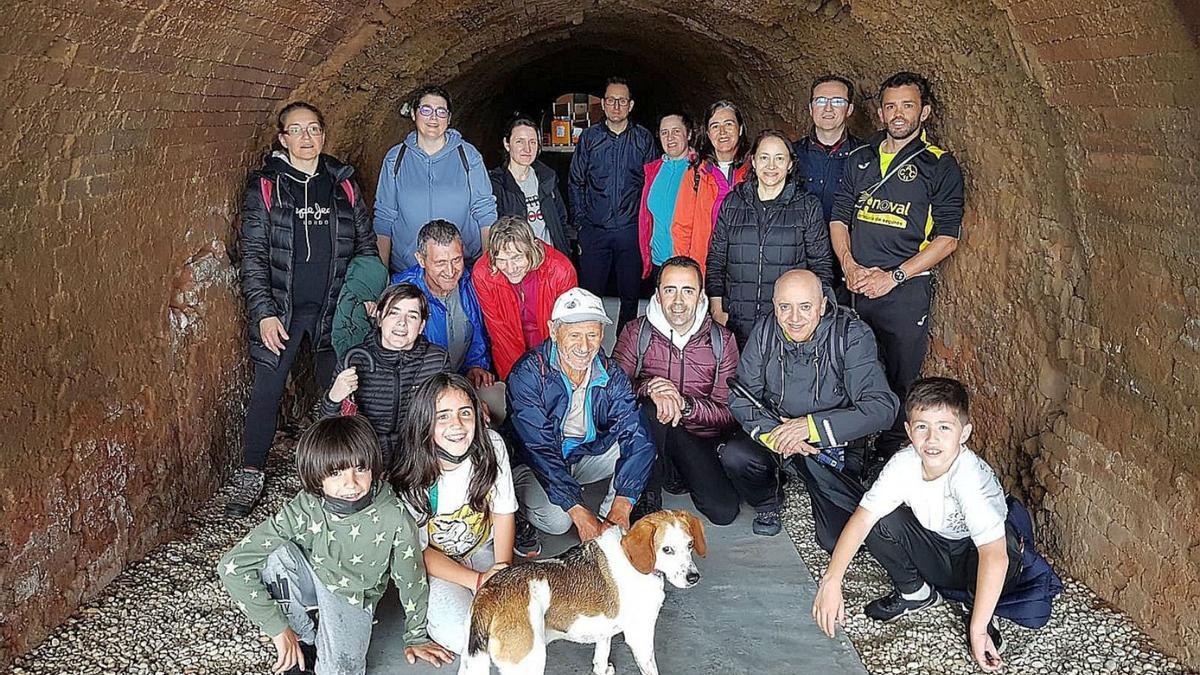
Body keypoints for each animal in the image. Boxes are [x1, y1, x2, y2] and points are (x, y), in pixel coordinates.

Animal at [456, 506, 700, 667]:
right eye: (667, 549)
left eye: (690, 545)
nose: (694, 578)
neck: (633, 560)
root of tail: (491, 591)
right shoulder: (640, 636)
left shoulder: (605, 630)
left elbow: (601, 658)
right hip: (529, 661)